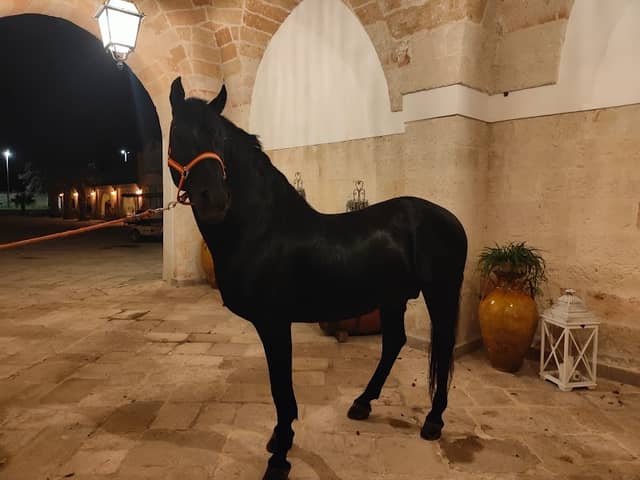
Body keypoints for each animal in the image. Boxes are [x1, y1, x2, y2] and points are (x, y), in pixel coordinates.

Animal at [167, 77, 468, 480]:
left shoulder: (275, 323)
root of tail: (449, 218)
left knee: (443, 346)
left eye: (219, 139)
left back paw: (433, 421)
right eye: (179, 134)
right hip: (392, 298)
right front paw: (279, 442)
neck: (262, 229)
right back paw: (362, 403)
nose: (213, 199)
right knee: (394, 343)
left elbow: (282, 393)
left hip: (440, 293)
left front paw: (279, 457)